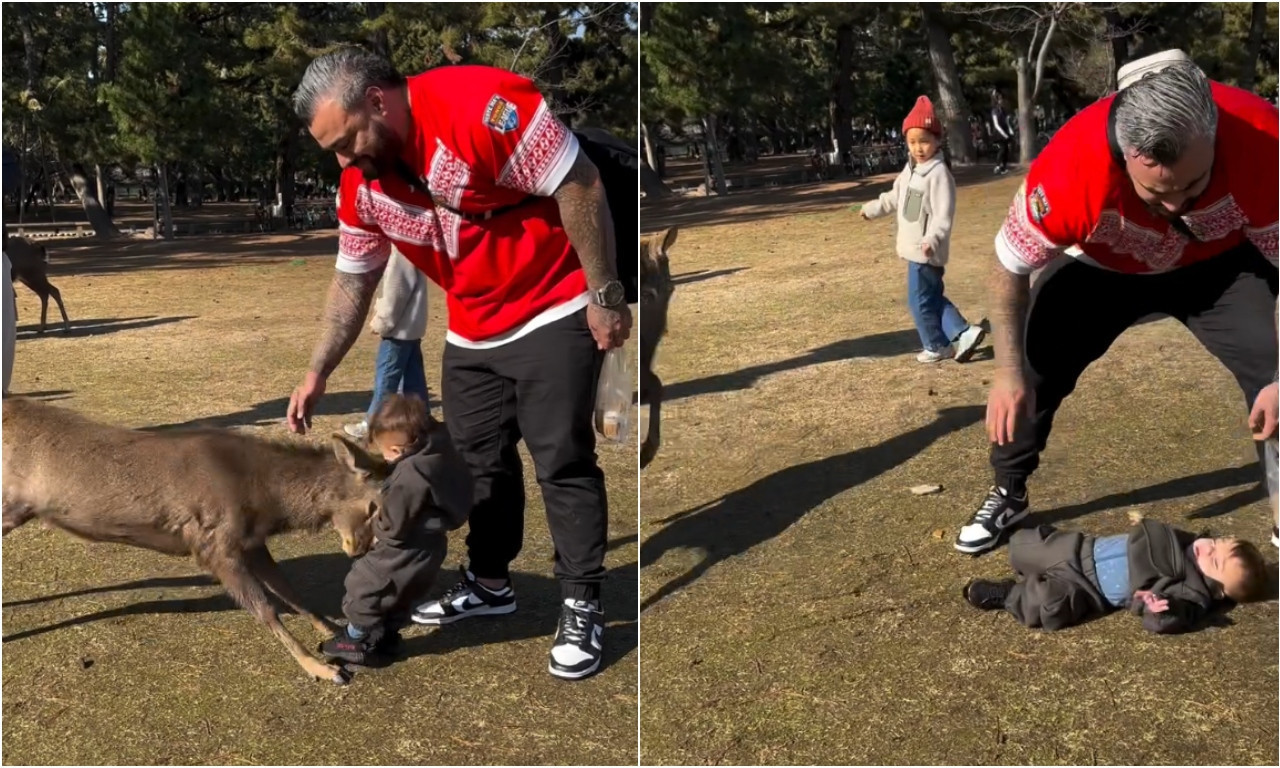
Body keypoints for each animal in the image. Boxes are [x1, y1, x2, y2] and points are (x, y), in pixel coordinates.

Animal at [2, 396, 386, 686]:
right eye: (374, 507)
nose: (361, 548)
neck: (267, 500)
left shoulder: (251, 542)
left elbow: (290, 592)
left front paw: (331, 627)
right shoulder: (214, 544)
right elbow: (266, 609)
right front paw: (321, 668)